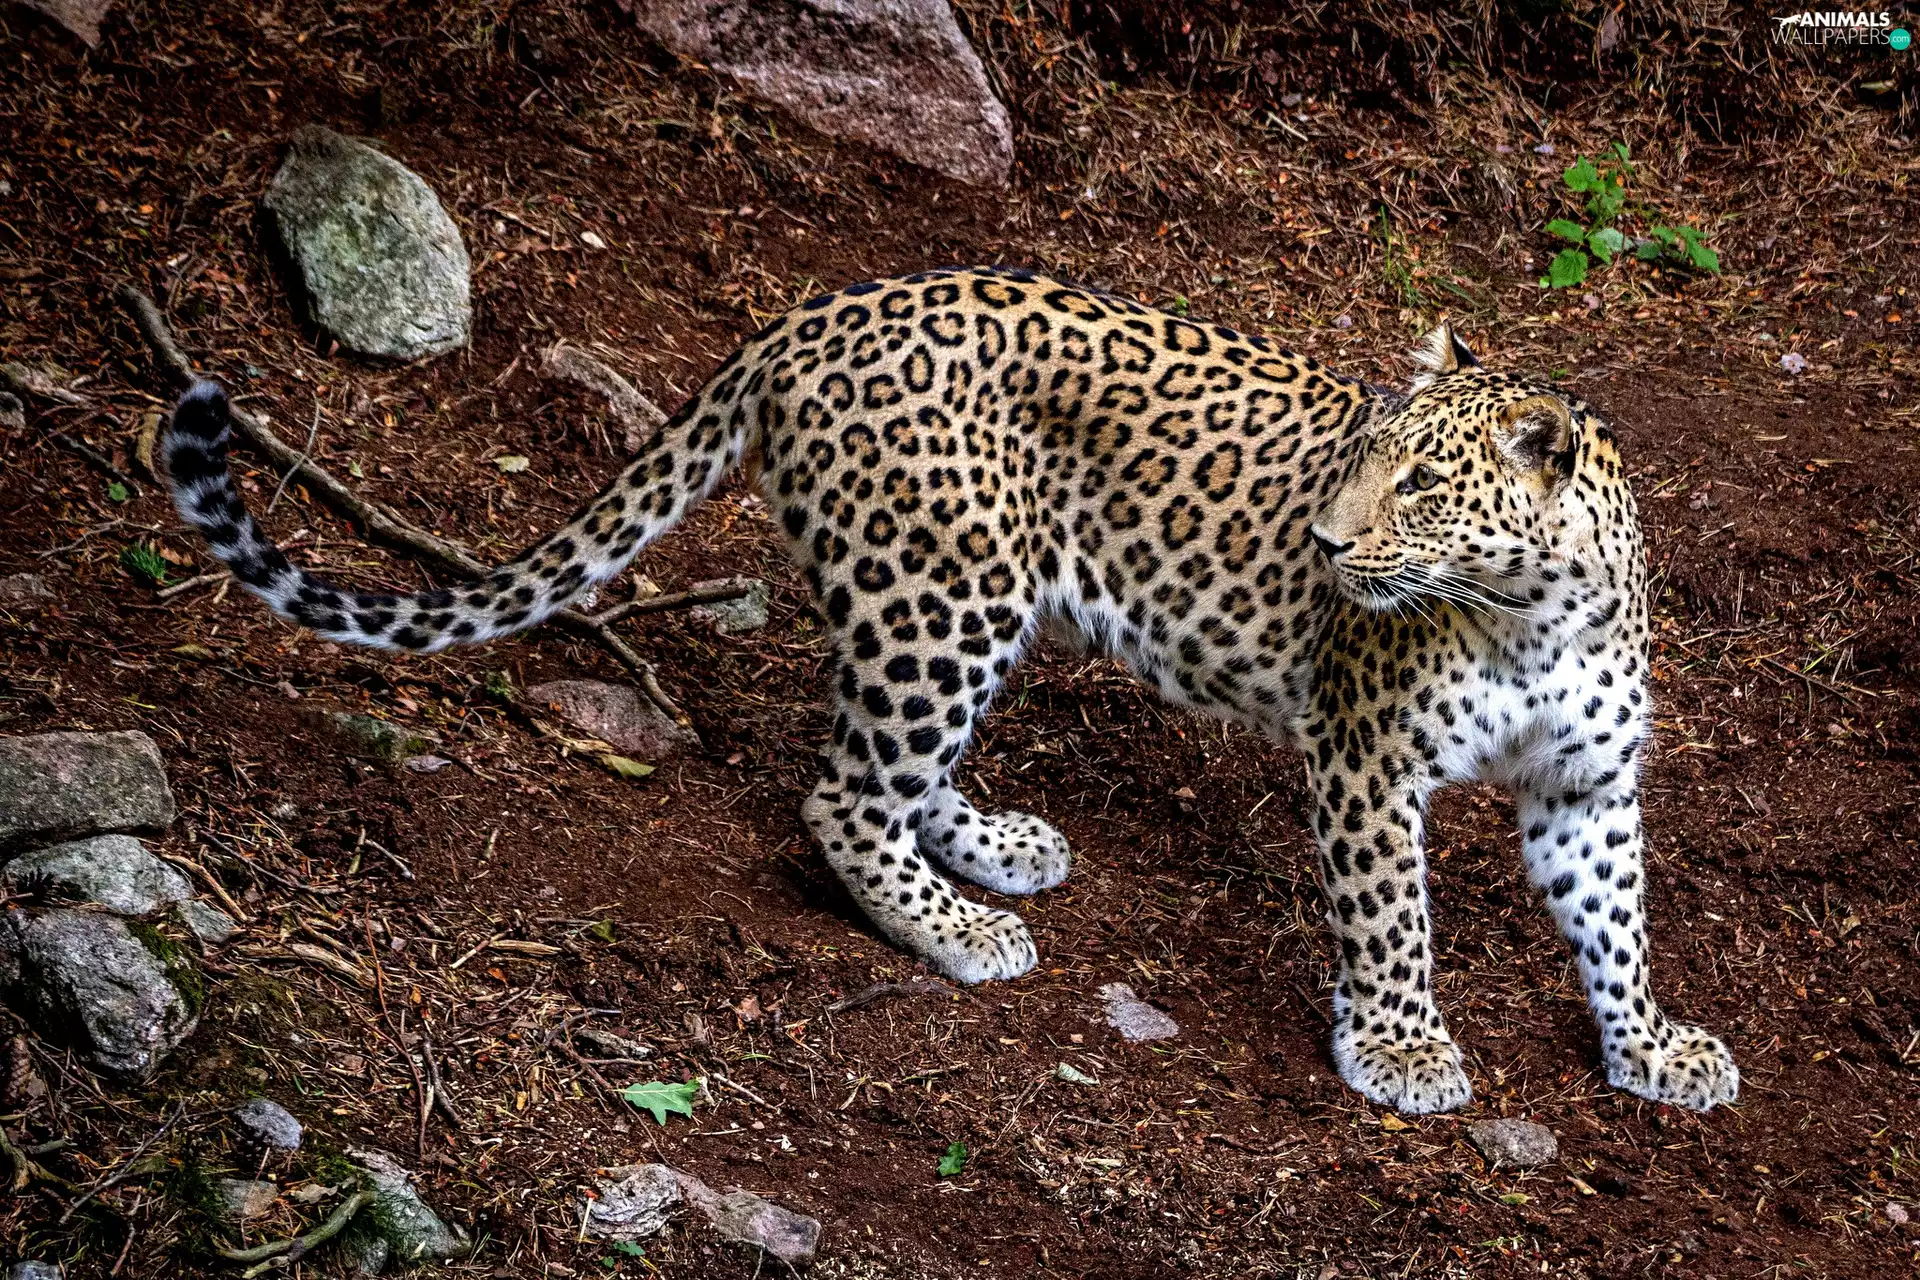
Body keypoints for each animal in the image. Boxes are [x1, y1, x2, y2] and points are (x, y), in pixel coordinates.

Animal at [164, 264, 1739, 1114]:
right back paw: (956, 928)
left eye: (1420, 485)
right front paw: (1404, 1046)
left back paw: (993, 847)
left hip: (963, 604)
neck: (1533, 614)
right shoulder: (1367, 758)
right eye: (1363, 458)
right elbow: (1391, 915)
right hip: (944, 589)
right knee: (842, 791)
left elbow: (1616, 920)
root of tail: (805, 317)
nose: (1324, 543)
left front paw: (1652, 1044)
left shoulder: (1588, 785)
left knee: (899, 769)